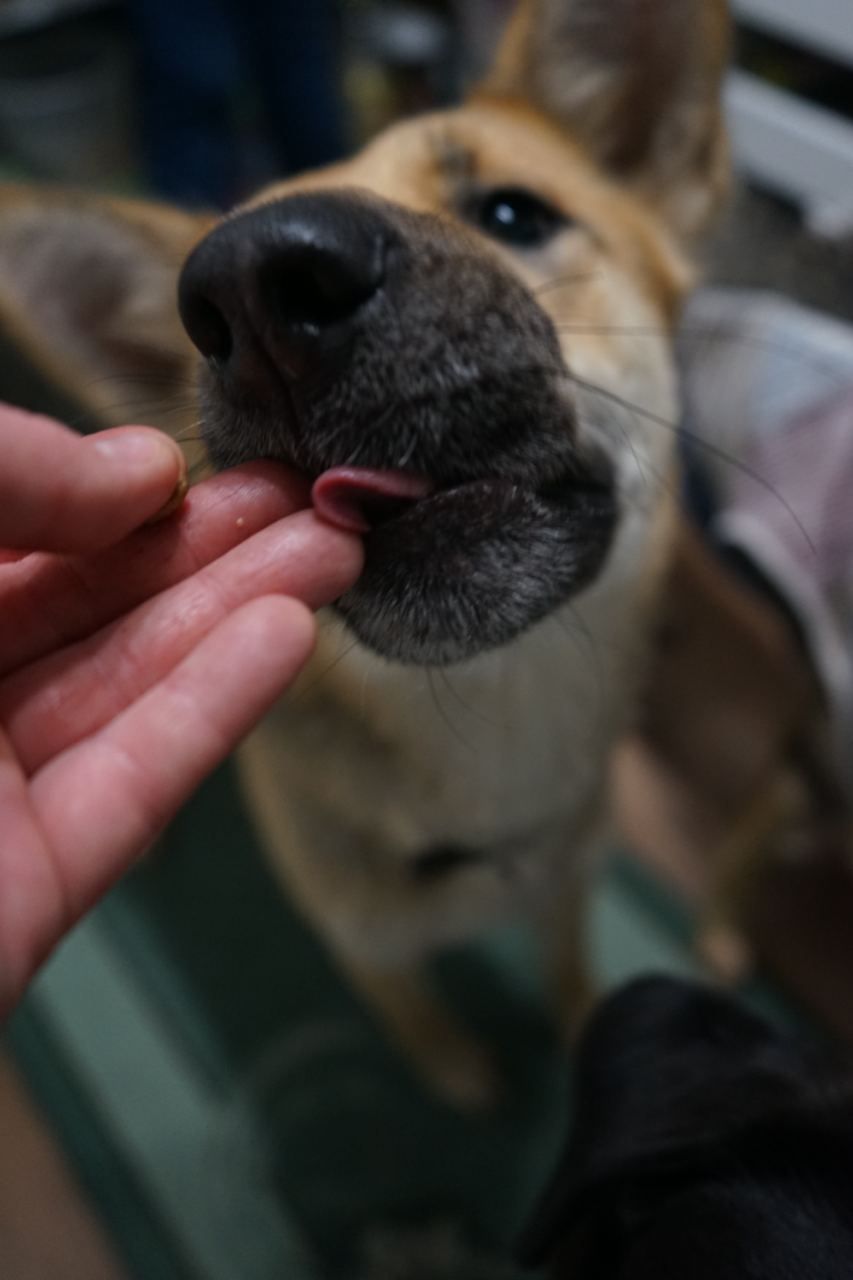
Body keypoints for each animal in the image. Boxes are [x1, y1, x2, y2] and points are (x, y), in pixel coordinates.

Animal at [1, 0, 732, 1100]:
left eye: (513, 214)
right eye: (201, 318)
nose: (252, 287)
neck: (491, 709)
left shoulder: (567, 883)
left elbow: (569, 965)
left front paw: (580, 1028)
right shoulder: (364, 948)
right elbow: (413, 1014)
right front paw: (463, 1076)